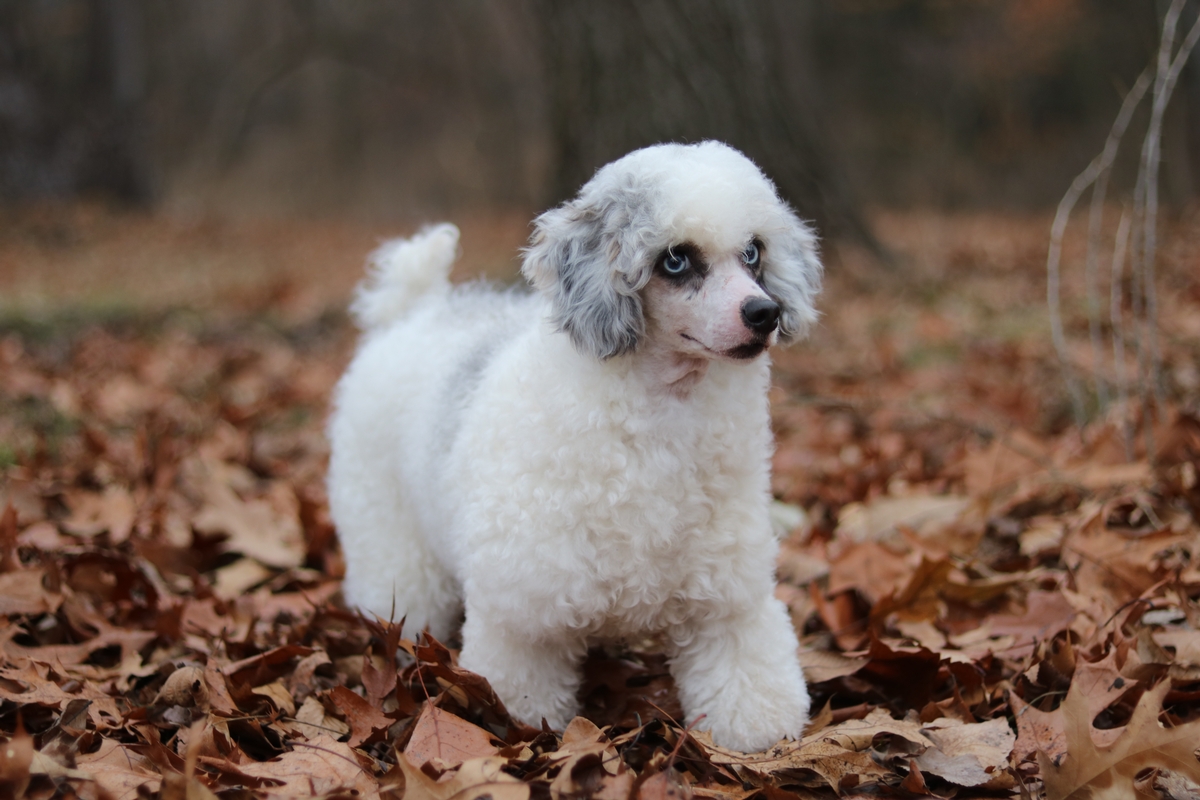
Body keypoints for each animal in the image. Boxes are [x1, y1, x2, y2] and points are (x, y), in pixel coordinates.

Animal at [326, 139, 825, 753]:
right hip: (389, 534)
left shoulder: (728, 598)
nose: (764, 313)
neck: (659, 420)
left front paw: (757, 734)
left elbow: (742, 664)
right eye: (675, 260)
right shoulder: (523, 606)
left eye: (753, 253)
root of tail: (415, 312)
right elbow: (522, 680)